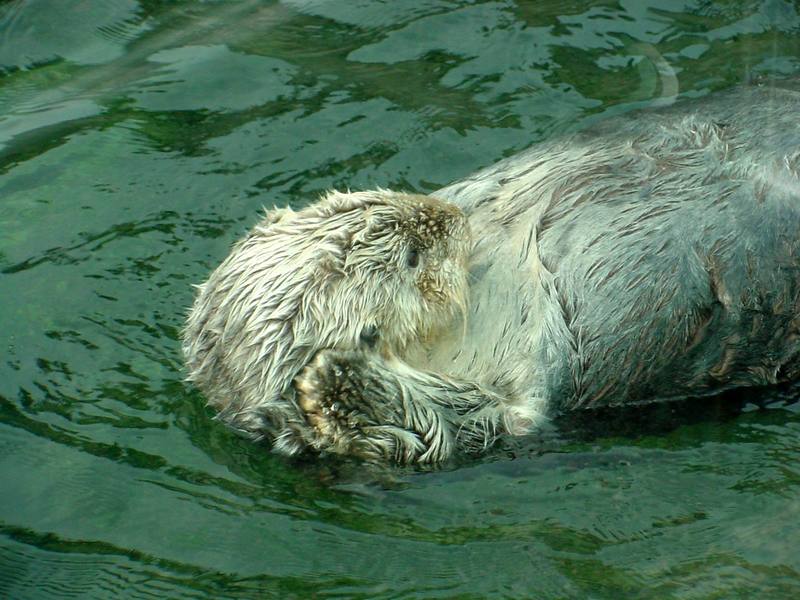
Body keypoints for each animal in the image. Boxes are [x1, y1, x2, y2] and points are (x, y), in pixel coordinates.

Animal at [181, 78, 800, 464]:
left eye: (366, 199)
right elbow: (461, 429)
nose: (452, 219)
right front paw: (337, 387)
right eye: (411, 258)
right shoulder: (508, 412)